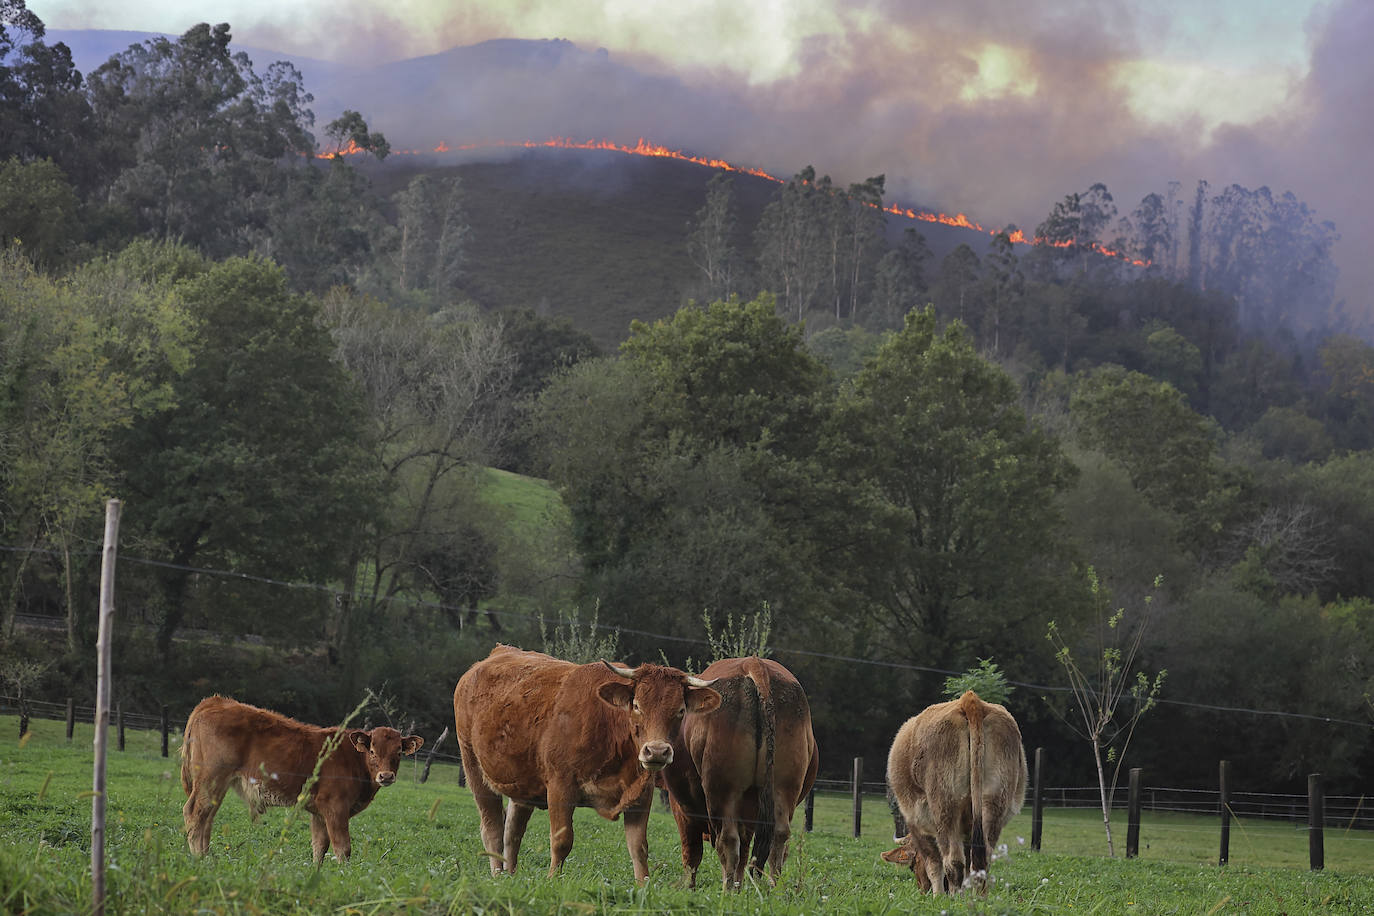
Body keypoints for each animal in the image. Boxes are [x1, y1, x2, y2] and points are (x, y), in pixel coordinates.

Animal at [181, 697, 423, 862]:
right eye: (372, 751)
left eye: (399, 752)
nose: (386, 776)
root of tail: (216, 701)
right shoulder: (335, 807)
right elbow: (342, 848)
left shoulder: (319, 813)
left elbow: (319, 847)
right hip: (210, 778)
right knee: (194, 812)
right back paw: (198, 859)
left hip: (218, 784)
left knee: (207, 817)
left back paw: (206, 856)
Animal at [453, 645, 730, 889]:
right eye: (637, 705)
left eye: (681, 710)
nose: (657, 751)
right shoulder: (560, 786)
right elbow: (562, 840)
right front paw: (553, 880)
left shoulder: (641, 794)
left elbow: (638, 846)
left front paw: (643, 886)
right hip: (473, 767)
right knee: (492, 828)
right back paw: (498, 875)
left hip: (522, 783)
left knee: (513, 831)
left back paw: (510, 874)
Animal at [656, 656, 813, 889]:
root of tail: (754, 664)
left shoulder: (682, 808)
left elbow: (691, 852)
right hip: (784, 789)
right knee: (778, 839)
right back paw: (773, 889)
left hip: (722, 792)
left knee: (728, 842)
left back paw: (727, 889)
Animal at [884, 686, 1027, 895]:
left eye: (912, 866)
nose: (922, 889)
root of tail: (970, 701)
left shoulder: (918, 823)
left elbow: (933, 863)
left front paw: (937, 895)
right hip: (994, 803)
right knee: (981, 862)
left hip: (945, 806)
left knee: (953, 862)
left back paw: (952, 896)